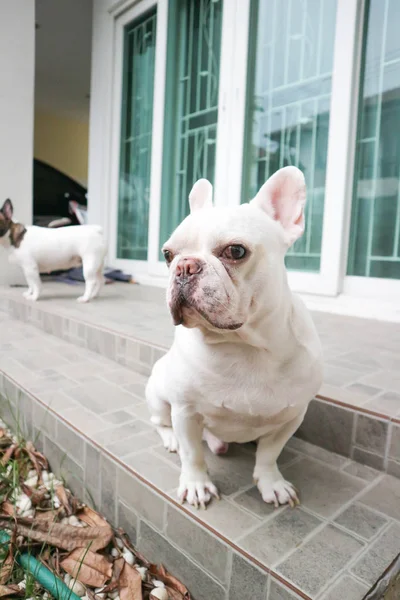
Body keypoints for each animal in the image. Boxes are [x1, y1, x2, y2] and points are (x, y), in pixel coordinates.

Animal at [147, 166, 324, 508]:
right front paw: (197, 484)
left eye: (235, 251)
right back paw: (171, 438)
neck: (243, 344)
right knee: (161, 422)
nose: (184, 266)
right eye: (167, 254)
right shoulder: (186, 411)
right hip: (159, 396)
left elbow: (270, 454)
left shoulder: (292, 416)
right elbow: (192, 454)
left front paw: (271, 483)